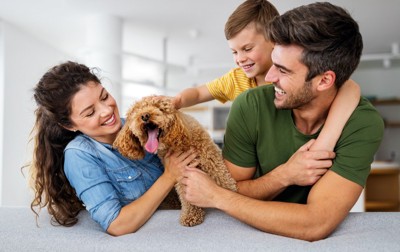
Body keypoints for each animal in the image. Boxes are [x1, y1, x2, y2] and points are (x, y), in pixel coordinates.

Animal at [113, 96, 238, 226]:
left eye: (159, 108)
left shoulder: (208, 153)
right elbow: (185, 193)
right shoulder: (181, 171)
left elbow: (220, 174)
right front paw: (191, 215)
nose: (144, 116)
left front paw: (229, 192)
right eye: (136, 111)